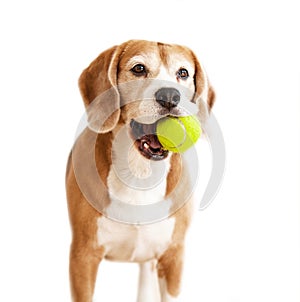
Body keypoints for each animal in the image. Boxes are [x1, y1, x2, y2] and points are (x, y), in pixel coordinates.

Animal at [67, 40, 214, 302]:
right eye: (138, 68)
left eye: (183, 73)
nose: (170, 96)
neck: (140, 173)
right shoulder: (83, 257)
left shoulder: (173, 257)